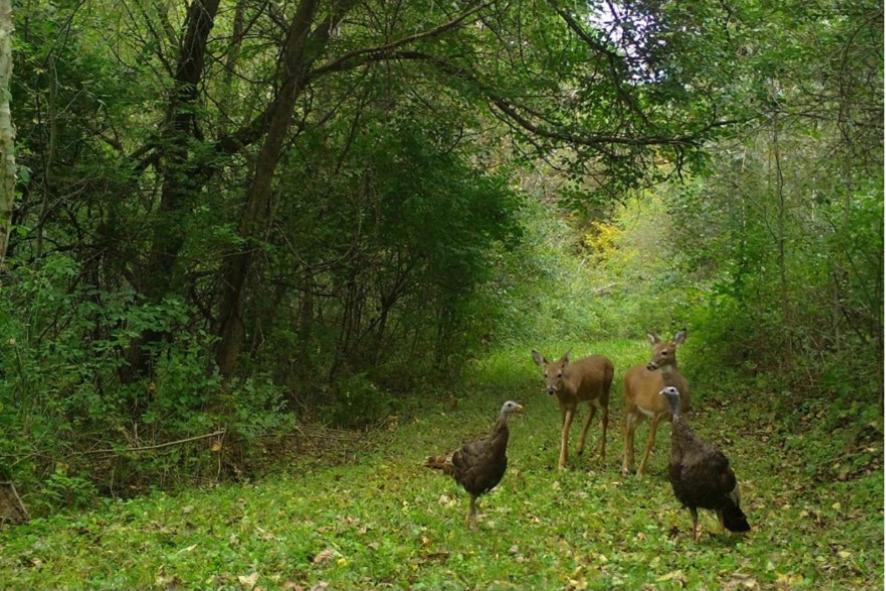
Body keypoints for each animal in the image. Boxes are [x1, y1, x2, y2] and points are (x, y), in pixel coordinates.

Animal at [620, 330, 692, 478]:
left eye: (664, 352)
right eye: (653, 350)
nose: (650, 365)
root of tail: (627, 372)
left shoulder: (678, 415)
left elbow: (676, 440)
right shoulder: (657, 413)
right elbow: (650, 441)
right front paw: (640, 473)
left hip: (641, 411)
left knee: (632, 428)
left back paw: (632, 463)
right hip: (629, 402)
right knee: (625, 428)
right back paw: (625, 468)